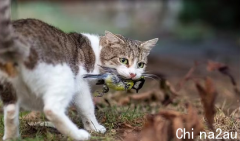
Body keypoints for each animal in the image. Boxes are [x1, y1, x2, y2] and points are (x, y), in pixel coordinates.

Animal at [0, 0, 158, 140]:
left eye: (141, 64)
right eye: (123, 60)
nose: (133, 74)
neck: (96, 53)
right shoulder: (81, 85)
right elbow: (87, 108)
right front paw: (94, 128)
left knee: (11, 110)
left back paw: (12, 137)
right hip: (65, 77)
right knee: (51, 109)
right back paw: (79, 135)